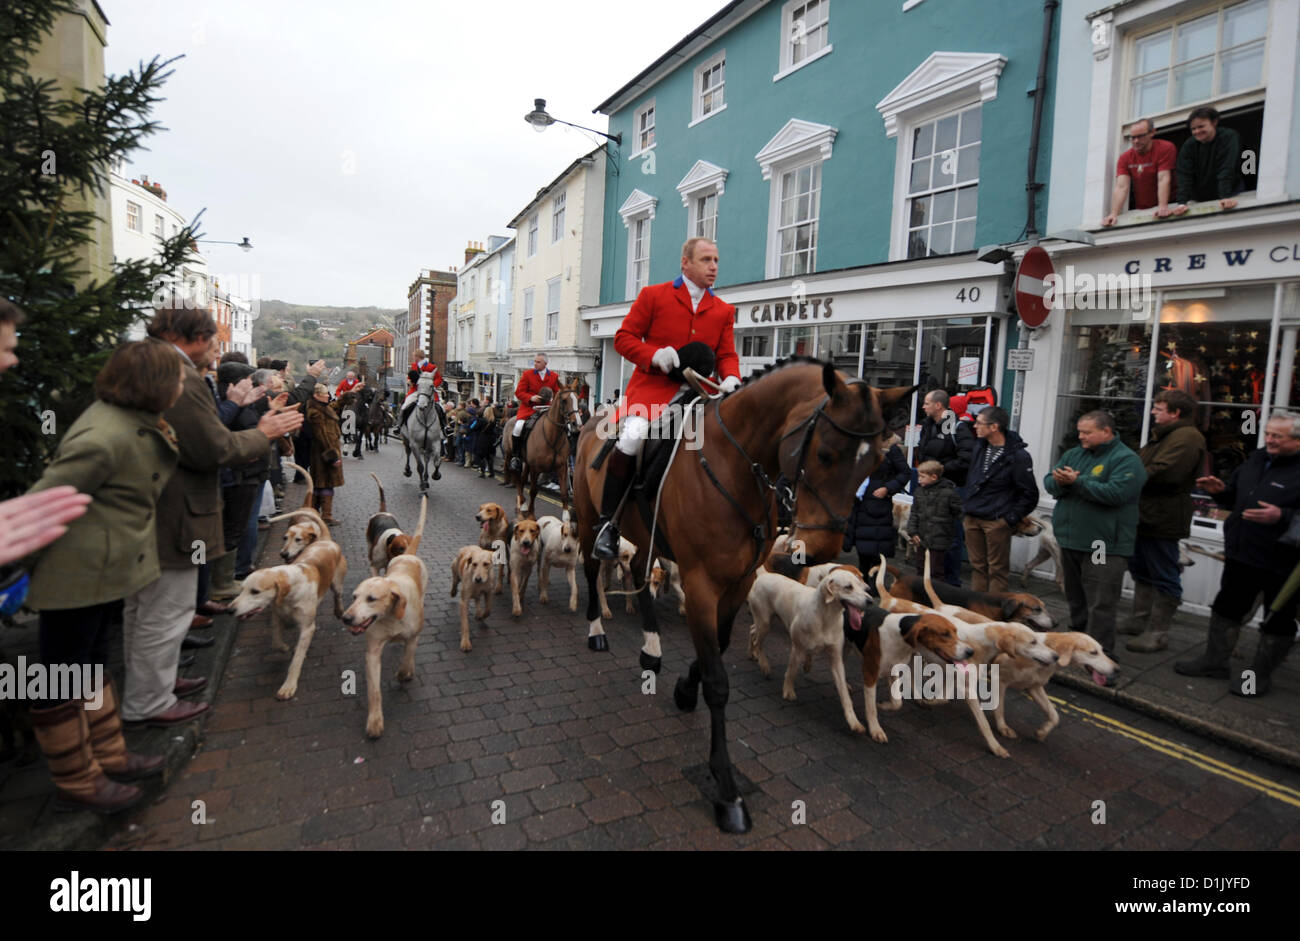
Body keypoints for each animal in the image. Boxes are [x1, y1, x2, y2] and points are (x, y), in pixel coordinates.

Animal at [506, 376, 585, 522]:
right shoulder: (536, 468)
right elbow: (533, 491)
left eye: (577, 398)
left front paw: (566, 518)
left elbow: (564, 492)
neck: (552, 436)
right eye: (564, 400)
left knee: (522, 479)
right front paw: (531, 515)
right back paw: (522, 504)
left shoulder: (562, 467)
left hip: (527, 463)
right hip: (513, 457)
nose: (577, 425)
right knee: (518, 478)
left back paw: (523, 504)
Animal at [574, 358, 909, 831]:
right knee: (591, 567)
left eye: (876, 462)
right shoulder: (700, 583)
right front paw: (727, 789)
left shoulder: (739, 582)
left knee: (640, 571)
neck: (735, 468)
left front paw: (684, 687)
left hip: (647, 532)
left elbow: (720, 643)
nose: (822, 548)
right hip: (589, 518)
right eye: (825, 454)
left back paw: (651, 648)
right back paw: (596, 630)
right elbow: (717, 680)